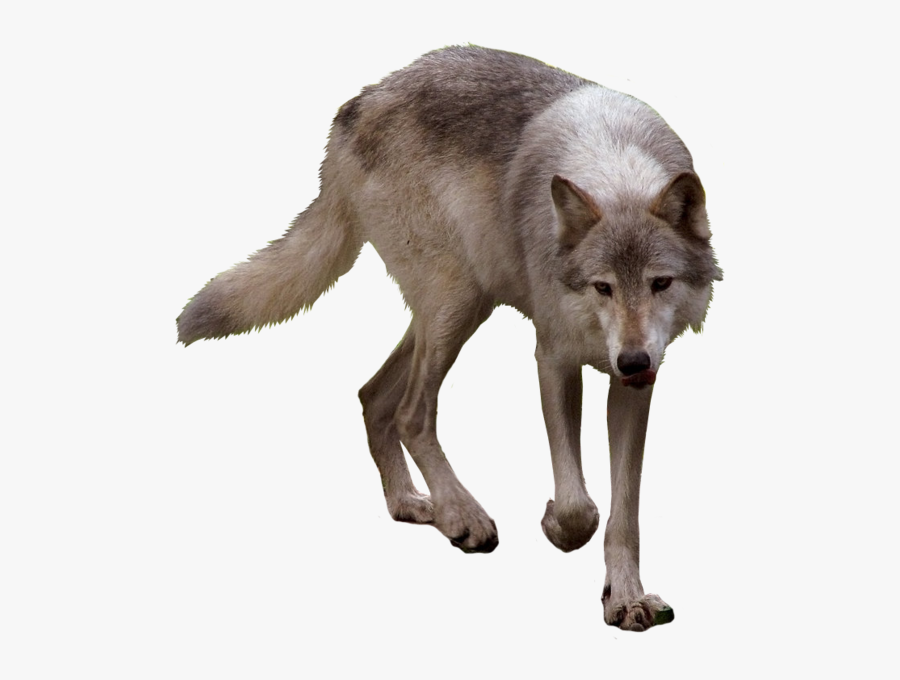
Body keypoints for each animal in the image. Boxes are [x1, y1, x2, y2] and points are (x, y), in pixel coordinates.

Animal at [177, 46, 722, 631]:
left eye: (660, 283)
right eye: (603, 287)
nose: (632, 359)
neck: (616, 171)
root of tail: (359, 102)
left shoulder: (634, 388)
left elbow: (626, 514)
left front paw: (625, 598)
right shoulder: (553, 357)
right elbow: (579, 507)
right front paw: (555, 524)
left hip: (457, 307)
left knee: (373, 396)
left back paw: (414, 505)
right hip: (456, 306)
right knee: (411, 413)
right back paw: (462, 517)